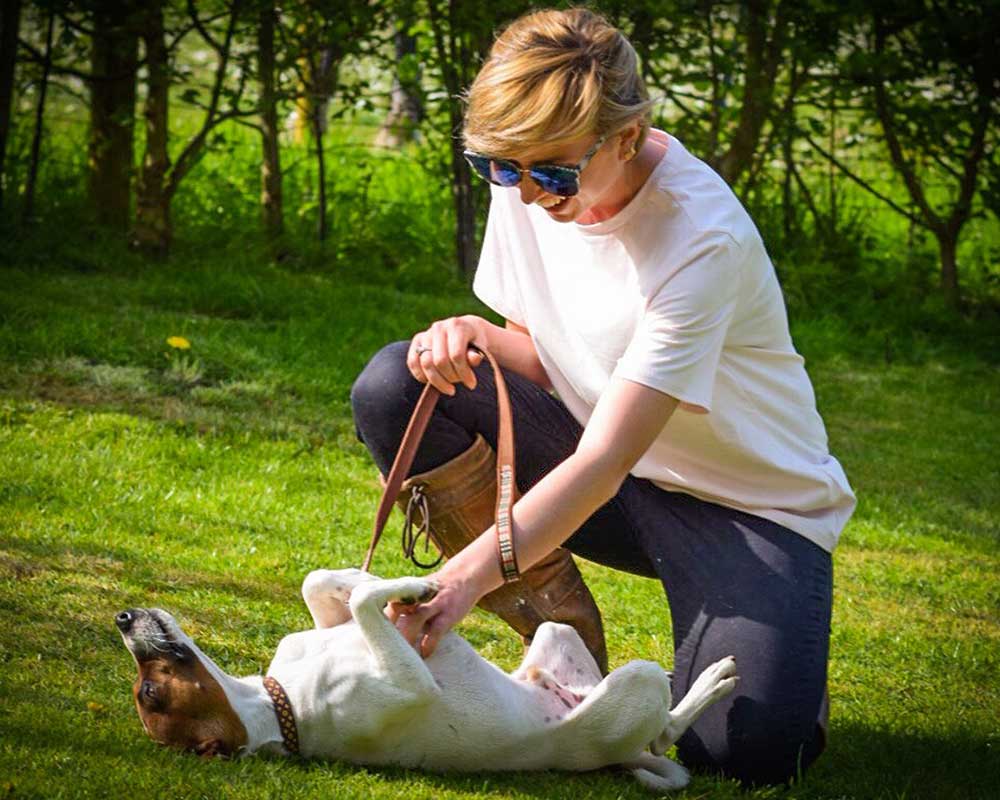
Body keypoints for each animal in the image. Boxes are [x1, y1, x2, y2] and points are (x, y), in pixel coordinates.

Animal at [117, 568, 740, 792]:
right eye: (150, 693)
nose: (123, 619)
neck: (279, 703)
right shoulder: (411, 683)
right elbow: (366, 603)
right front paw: (412, 588)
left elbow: (322, 583)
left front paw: (378, 580)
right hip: (633, 691)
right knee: (664, 727)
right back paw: (715, 678)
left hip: (555, 633)